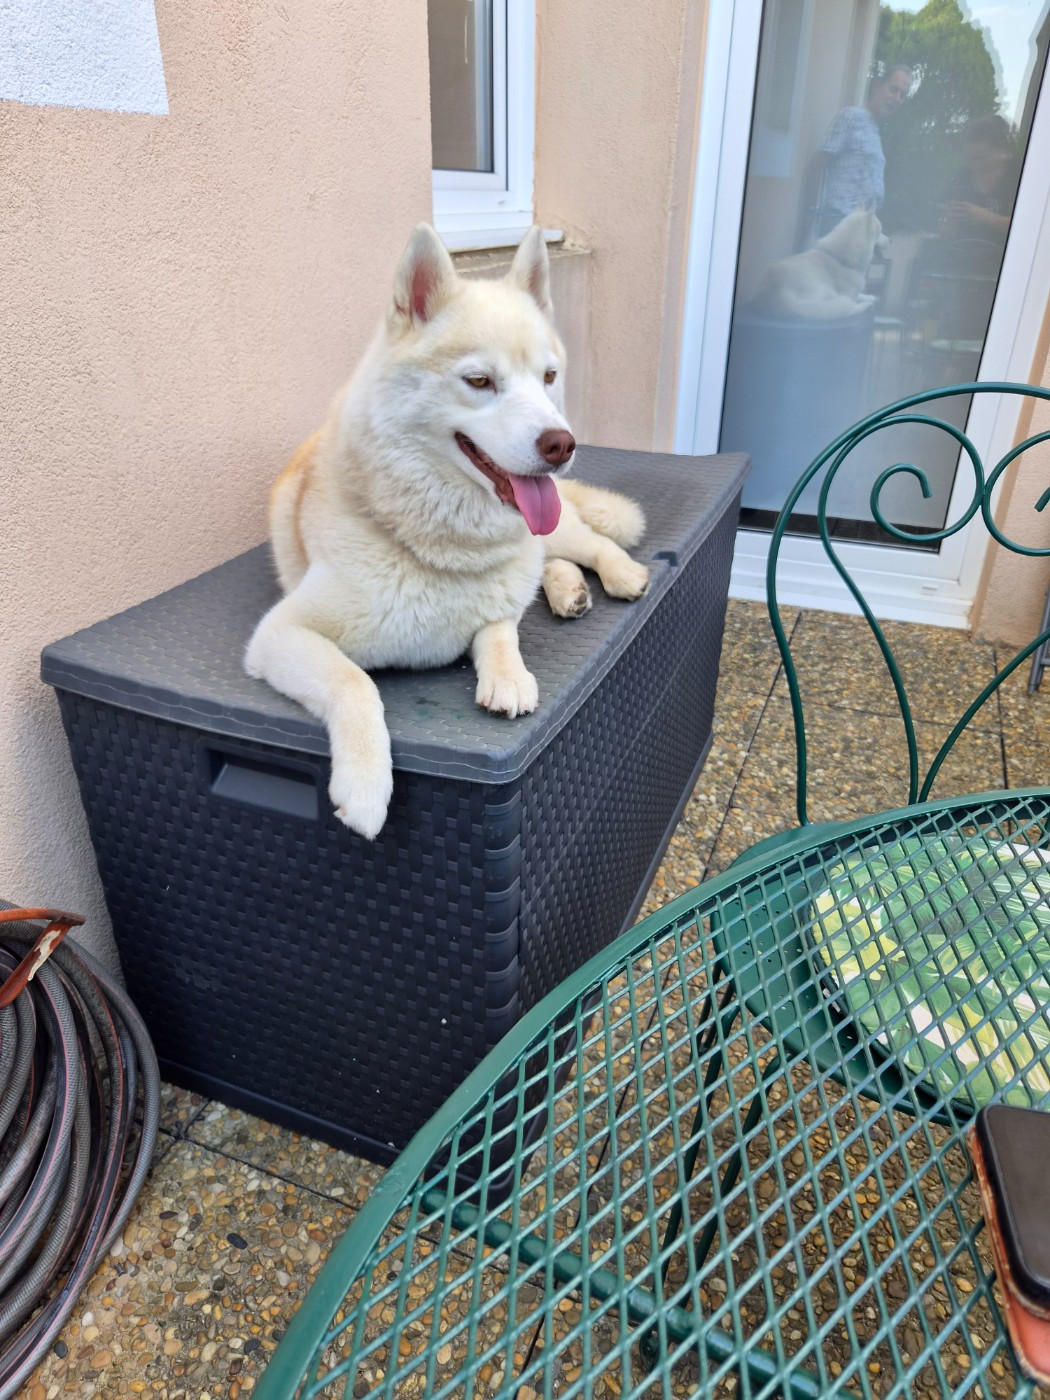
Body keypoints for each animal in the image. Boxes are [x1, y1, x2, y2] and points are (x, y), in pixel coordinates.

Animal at [245, 224, 649, 839]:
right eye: (479, 381)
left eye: (549, 377)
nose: (562, 444)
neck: (440, 549)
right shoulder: (280, 634)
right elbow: (355, 683)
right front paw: (365, 786)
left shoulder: (499, 599)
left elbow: (501, 630)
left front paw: (507, 674)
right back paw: (568, 590)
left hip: (560, 531)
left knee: (587, 544)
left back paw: (614, 574)